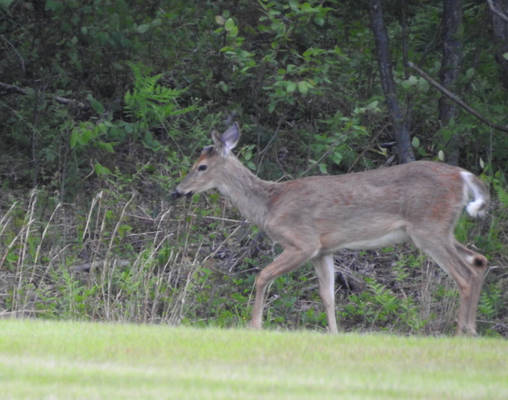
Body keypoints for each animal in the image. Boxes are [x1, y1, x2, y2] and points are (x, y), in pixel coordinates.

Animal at [173, 123, 490, 336]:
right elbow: (328, 295)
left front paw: (255, 325)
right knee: (480, 261)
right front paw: (335, 334)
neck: (270, 204)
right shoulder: (323, 251)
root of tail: (463, 175)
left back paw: (460, 333)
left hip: (428, 228)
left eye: (201, 167)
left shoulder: (303, 242)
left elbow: (262, 276)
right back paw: (471, 330)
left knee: (464, 275)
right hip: (442, 229)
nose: (178, 190)